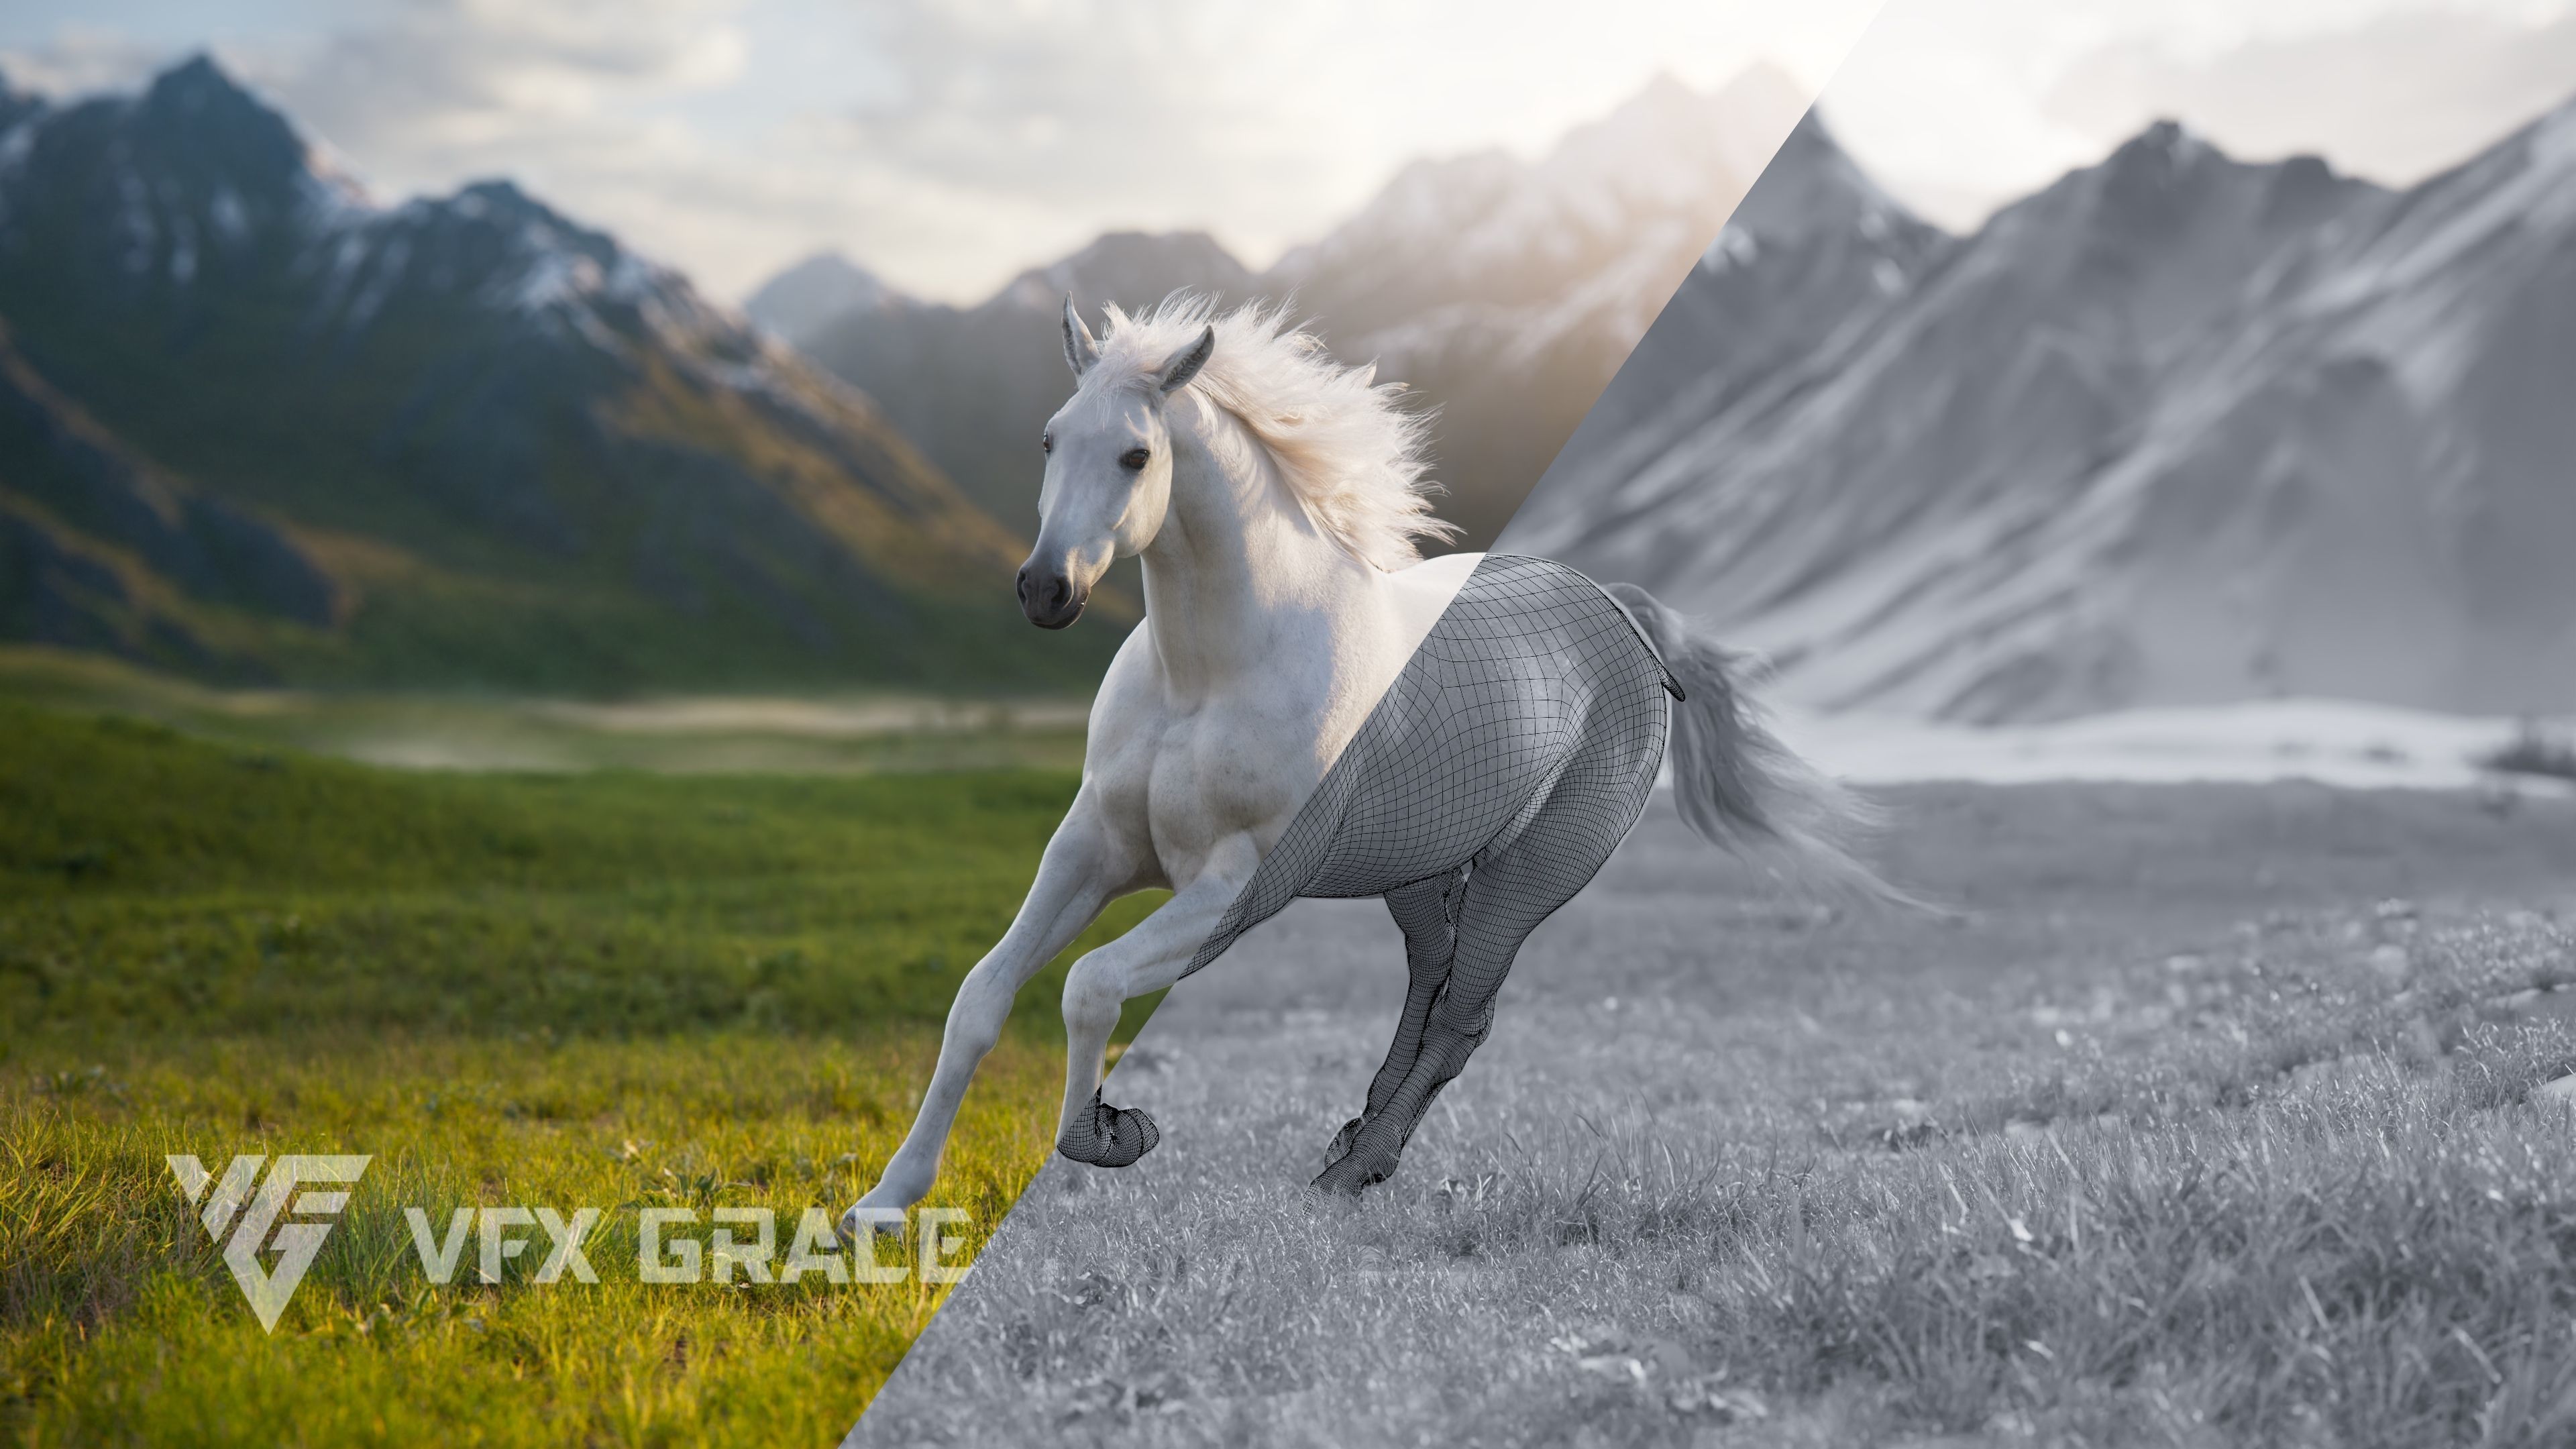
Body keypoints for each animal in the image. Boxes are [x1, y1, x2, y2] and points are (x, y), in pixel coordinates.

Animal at [843, 295, 1901, 1228]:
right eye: (1050, 440)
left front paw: (1112, 1134)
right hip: (1419, 870)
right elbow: (983, 996)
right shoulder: (1092, 849)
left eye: (1137, 454)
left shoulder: (1238, 888)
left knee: (1465, 1015)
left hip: (1531, 874)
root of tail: (1622, 613)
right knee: (1429, 985)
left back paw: (1355, 1171)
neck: (1208, 676)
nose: (1044, 590)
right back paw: (1350, 1144)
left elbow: (1089, 984)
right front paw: (885, 1205)